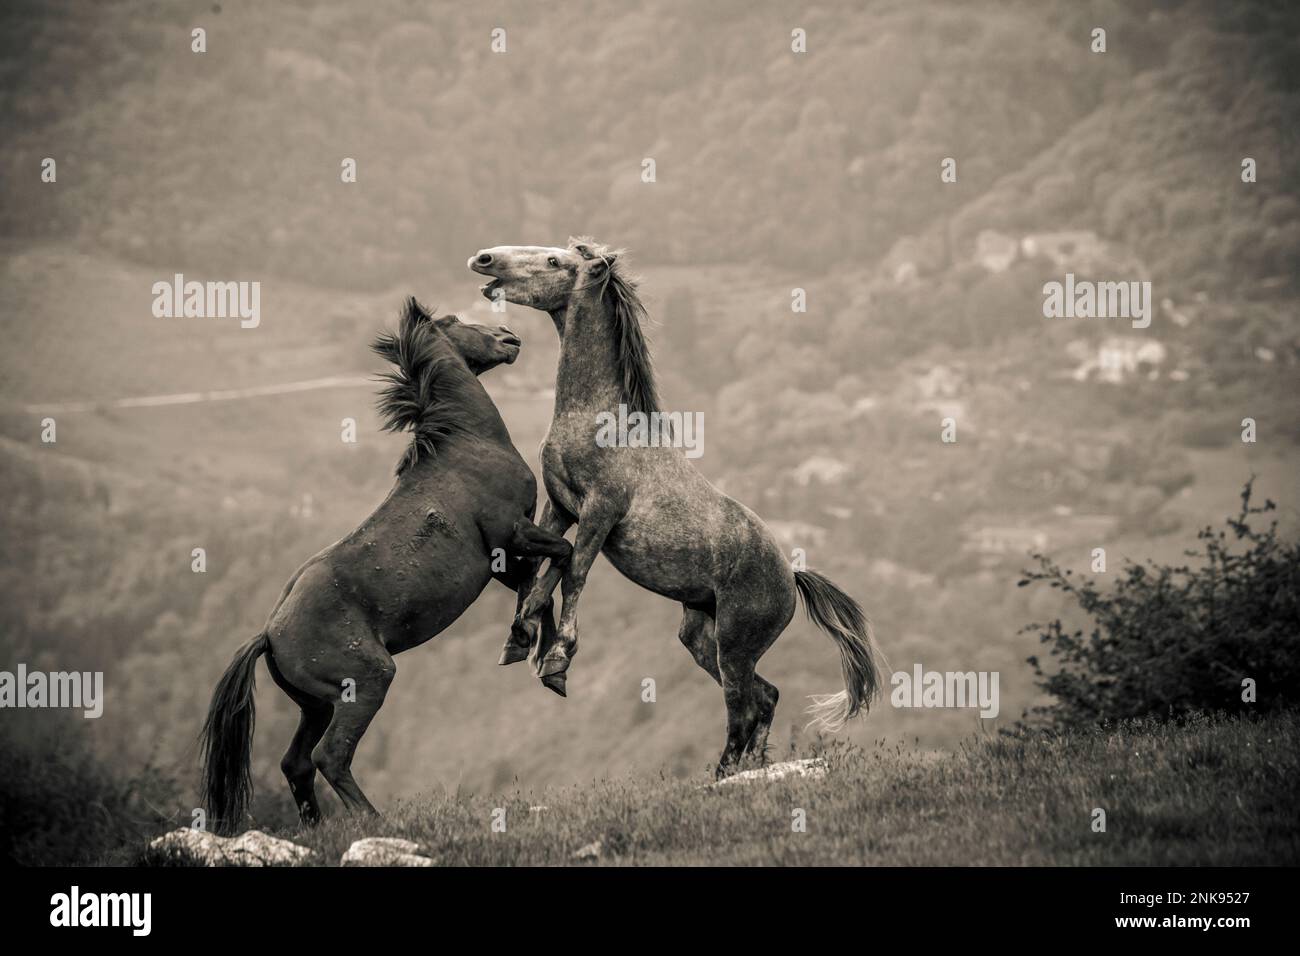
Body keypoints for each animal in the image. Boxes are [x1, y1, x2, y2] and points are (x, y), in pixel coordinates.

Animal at [198, 299, 569, 832]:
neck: (467, 445)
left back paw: (317, 828)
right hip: (367, 684)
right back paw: (375, 823)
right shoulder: (511, 533)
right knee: (330, 757)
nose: (508, 336)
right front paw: (530, 645)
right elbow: (558, 559)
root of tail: (269, 634)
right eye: (455, 321)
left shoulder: (500, 560)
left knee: (296, 763)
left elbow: (535, 586)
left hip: (316, 704)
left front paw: (536, 655)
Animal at [467, 239, 883, 780]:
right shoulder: (561, 508)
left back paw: (724, 773)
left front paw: (558, 660)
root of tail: (791, 578)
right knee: (766, 697)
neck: (599, 422)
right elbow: (546, 565)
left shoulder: (600, 511)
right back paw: (744, 768)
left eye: (556, 261)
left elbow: (575, 570)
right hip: (701, 637)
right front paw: (521, 636)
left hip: (734, 642)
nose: (484, 260)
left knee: (743, 706)